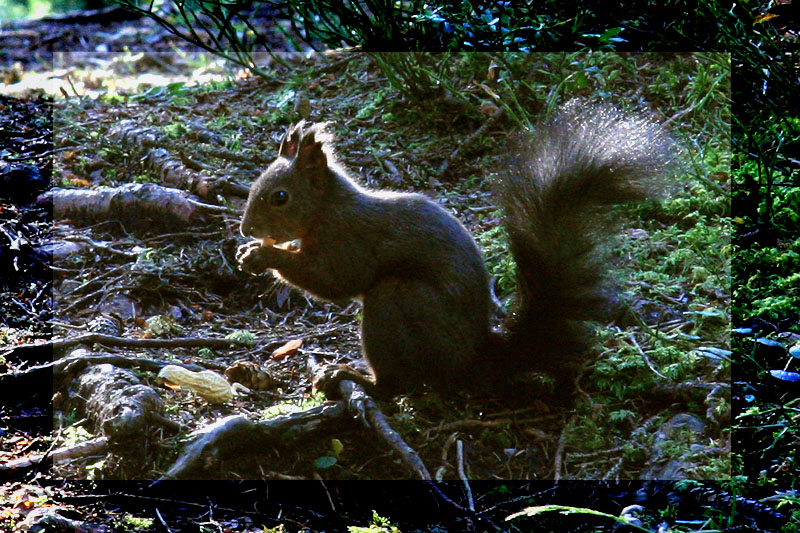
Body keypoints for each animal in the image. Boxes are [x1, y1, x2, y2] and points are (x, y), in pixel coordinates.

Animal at [238, 98, 676, 400]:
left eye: (280, 197)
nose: (246, 229)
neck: (327, 207)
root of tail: (474, 357)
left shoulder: (349, 238)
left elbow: (334, 280)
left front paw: (262, 256)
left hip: (398, 303)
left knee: (397, 383)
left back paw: (351, 378)